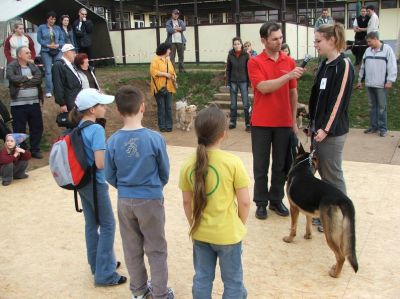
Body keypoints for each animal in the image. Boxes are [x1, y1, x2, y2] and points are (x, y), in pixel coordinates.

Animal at [282, 145, 358, 278]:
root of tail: (344, 199)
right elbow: (308, 223)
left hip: (330, 233)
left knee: (341, 256)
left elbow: (293, 227)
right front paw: (308, 236)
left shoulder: (293, 208)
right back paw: (335, 268)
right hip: (341, 232)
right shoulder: (308, 210)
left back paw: (335, 274)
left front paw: (289, 239)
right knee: (343, 252)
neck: (303, 168)